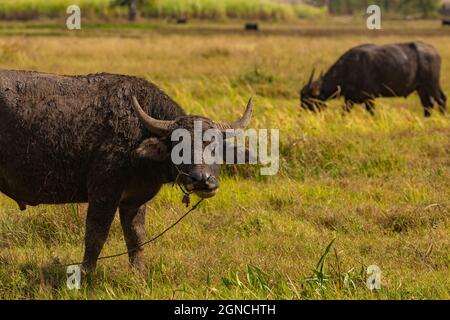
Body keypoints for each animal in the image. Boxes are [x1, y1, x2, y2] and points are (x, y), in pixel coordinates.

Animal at [0, 69, 253, 272]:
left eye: (216, 146)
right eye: (180, 147)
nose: (202, 180)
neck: (138, 136)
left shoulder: (134, 200)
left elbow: (136, 238)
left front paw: (138, 275)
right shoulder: (103, 193)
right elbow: (95, 236)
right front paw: (85, 276)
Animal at [298, 42, 446, 117]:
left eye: (309, 100)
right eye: (302, 100)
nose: (301, 114)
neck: (349, 68)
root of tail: (434, 52)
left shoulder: (370, 98)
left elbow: (372, 113)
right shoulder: (349, 99)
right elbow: (344, 113)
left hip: (432, 84)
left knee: (441, 100)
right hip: (421, 87)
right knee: (427, 104)